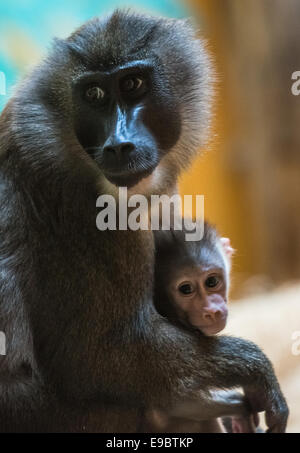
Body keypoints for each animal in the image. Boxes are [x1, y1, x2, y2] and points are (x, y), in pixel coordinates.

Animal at [0, 9, 288, 430]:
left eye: (133, 84)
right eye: (94, 94)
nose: (118, 145)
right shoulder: (82, 212)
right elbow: (97, 358)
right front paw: (255, 371)